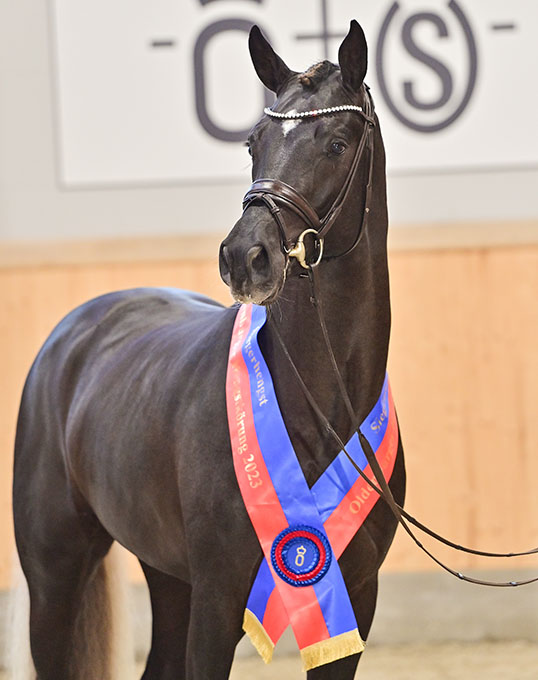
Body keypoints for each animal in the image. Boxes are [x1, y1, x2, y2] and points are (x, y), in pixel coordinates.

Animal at [12, 21, 402, 680]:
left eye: (337, 142)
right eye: (253, 143)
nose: (246, 256)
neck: (320, 411)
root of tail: (73, 331)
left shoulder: (357, 600)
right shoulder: (219, 601)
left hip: (169, 577)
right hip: (55, 577)